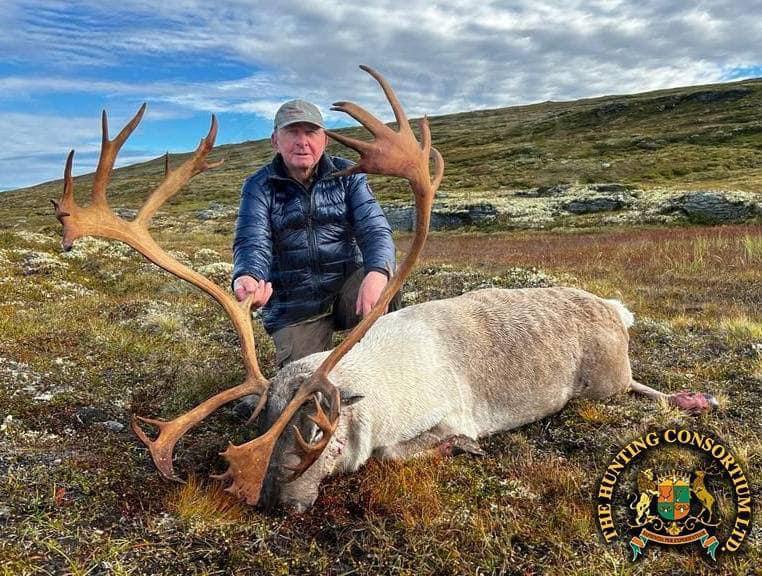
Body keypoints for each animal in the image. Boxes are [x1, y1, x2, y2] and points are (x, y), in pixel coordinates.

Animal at [53, 66, 716, 514]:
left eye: (312, 433)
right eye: (266, 422)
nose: (278, 503)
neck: (370, 392)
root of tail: (614, 307)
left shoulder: (447, 413)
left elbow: (408, 449)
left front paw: (457, 450)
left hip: (607, 380)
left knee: (645, 390)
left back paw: (694, 400)